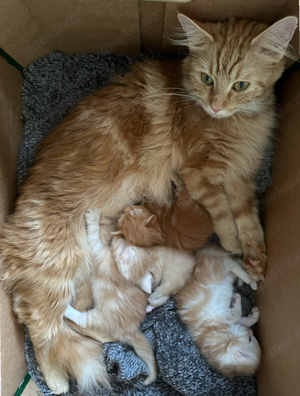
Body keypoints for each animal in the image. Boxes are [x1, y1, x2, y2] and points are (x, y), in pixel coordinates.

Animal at [176, 244, 260, 378]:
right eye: (250, 339)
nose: (250, 331)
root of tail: (200, 254)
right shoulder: (218, 318)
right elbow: (237, 314)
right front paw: (237, 300)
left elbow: (243, 319)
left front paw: (254, 314)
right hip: (213, 273)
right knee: (230, 264)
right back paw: (250, 281)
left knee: (233, 263)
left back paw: (248, 280)